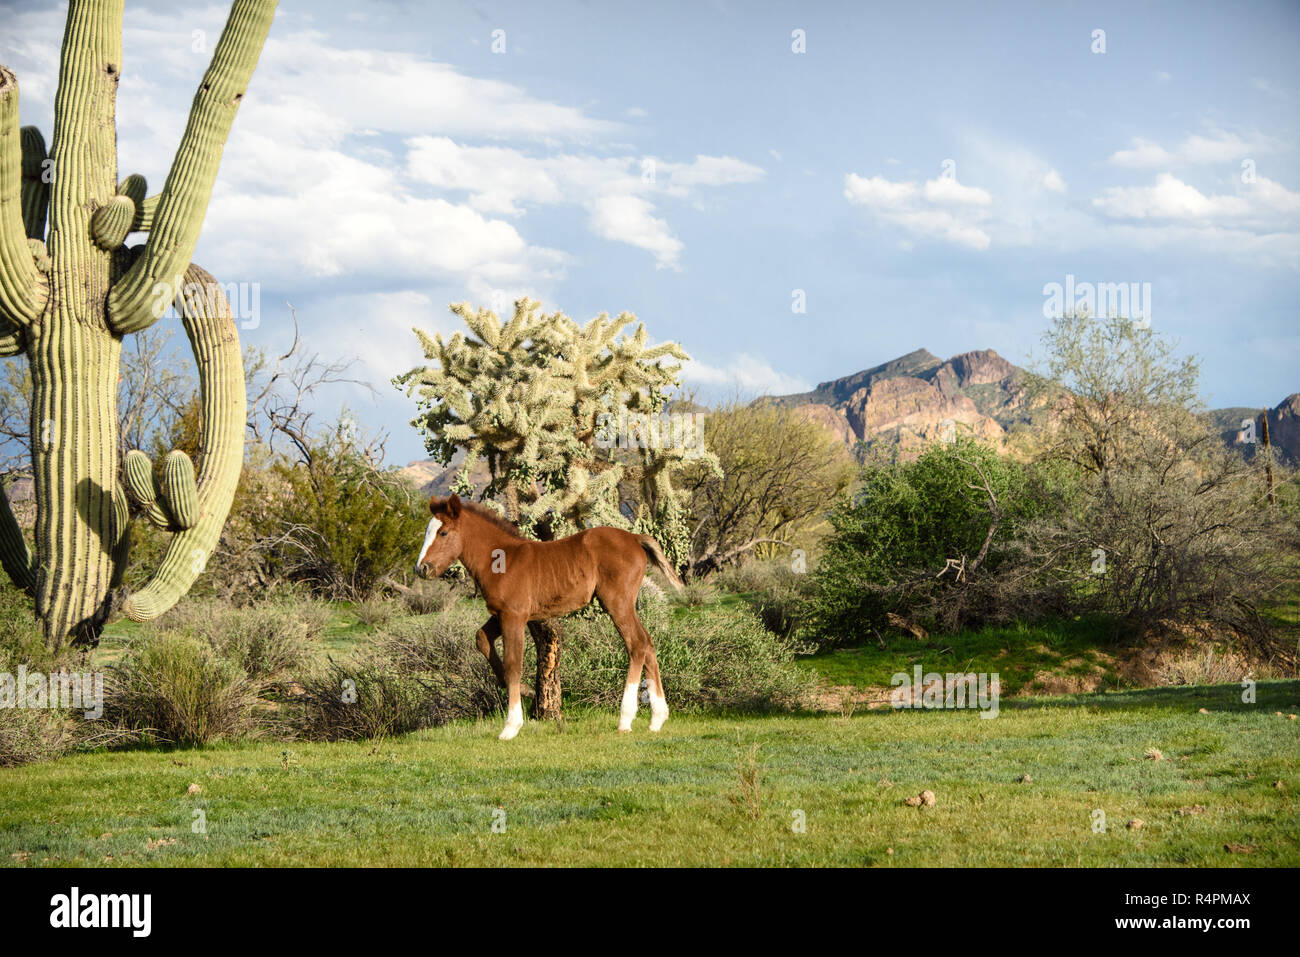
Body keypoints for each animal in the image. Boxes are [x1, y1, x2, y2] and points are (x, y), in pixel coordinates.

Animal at [414, 494, 684, 740]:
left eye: (443, 533)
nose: (421, 568)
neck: (502, 558)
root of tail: (635, 538)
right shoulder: (502, 615)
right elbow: (481, 639)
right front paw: (526, 690)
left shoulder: (514, 616)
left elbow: (513, 665)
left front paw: (511, 725)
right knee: (648, 643)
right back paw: (657, 719)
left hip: (617, 603)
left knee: (637, 644)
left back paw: (625, 719)